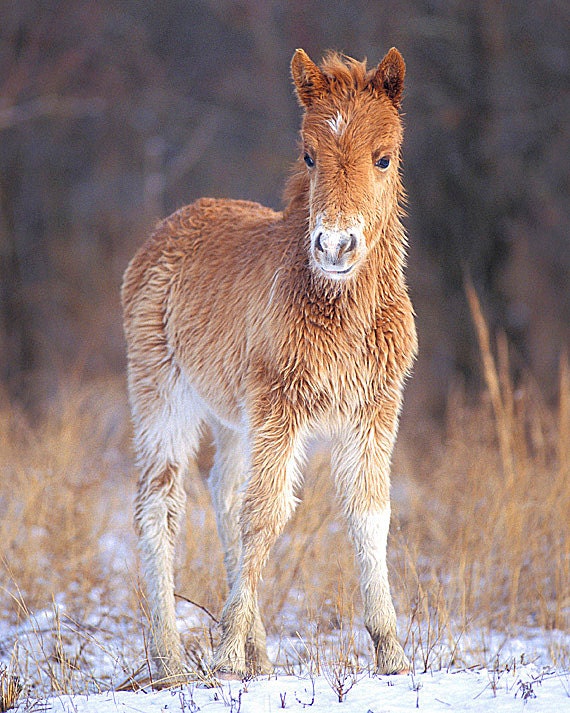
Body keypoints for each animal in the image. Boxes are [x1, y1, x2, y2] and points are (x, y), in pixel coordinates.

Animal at [122, 46, 417, 687]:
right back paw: (173, 662)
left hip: (234, 416)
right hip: (162, 394)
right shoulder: (281, 407)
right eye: (309, 154)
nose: (335, 246)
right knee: (160, 504)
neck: (338, 312)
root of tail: (163, 231)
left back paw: (257, 655)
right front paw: (226, 653)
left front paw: (393, 656)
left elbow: (369, 515)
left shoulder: (375, 411)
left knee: (223, 492)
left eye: (384, 157)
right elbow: (266, 517)